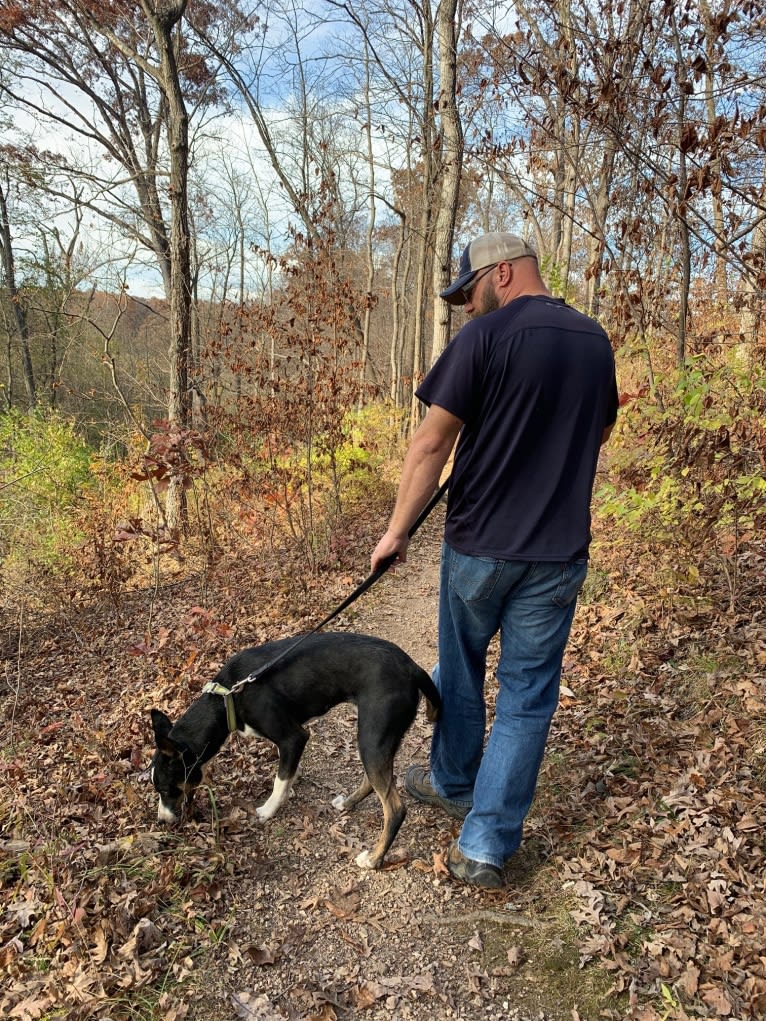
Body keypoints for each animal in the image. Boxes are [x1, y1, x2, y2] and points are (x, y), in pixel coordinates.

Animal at [151, 633, 437, 865]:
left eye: (165, 789)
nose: (161, 821)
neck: (227, 698)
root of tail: (413, 668)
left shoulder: (293, 737)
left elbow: (279, 781)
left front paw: (268, 810)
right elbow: (286, 773)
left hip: (371, 737)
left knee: (394, 809)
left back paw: (374, 859)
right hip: (373, 740)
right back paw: (347, 804)